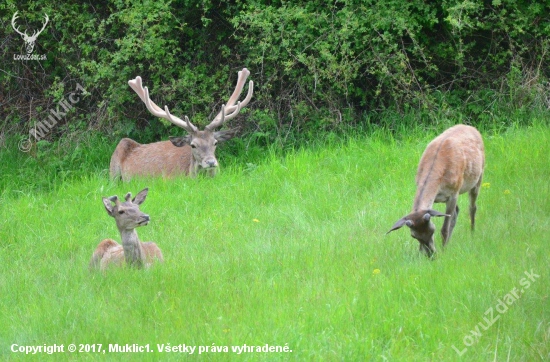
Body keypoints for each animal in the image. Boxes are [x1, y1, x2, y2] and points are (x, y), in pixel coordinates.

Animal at [388, 126, 488, 256]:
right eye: (414, 236)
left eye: (432, 230)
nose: (431, 254)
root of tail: (472, 127)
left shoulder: (454, 193)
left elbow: (444, 228)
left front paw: (444, 250)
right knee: (457, 211)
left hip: (479, 177)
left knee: (472, 207)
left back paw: (472, 233)